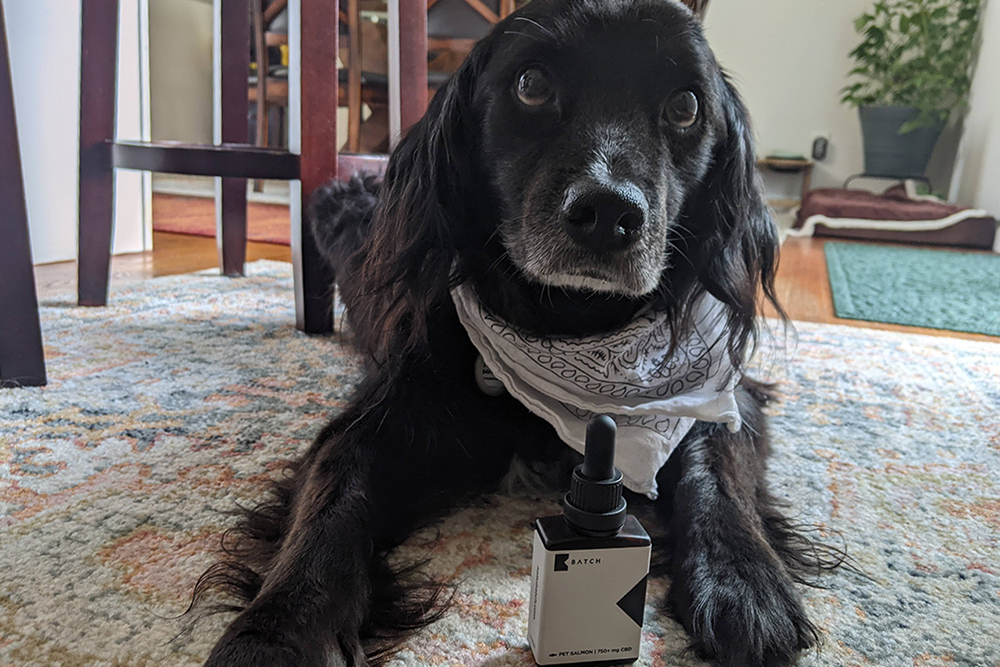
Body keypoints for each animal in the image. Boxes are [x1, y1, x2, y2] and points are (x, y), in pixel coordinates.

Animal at [193, 0, 836, 664]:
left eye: (686, 106)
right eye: (531, 84)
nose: (609, 213)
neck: (571, 325)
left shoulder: (717, 390)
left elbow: (718, 463)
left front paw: (743, 581)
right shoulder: (393, 401)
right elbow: (331, 493)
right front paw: (276, 634)